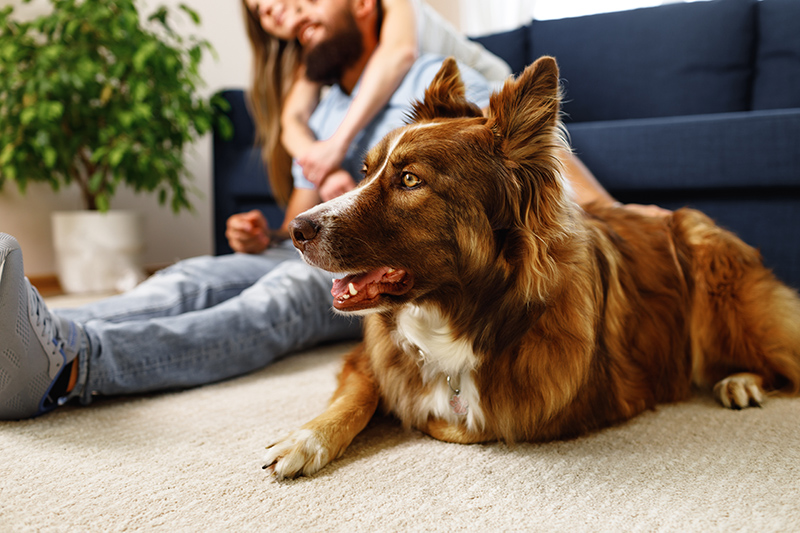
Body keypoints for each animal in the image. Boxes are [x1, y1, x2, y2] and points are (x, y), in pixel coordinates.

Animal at [264, 57, 800, 478]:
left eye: (411, 180)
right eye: (365, 172)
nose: (295, 229)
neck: (458, 319)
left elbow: (451, 423)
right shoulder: (370, 358)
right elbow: (358, 396)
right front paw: (305, 438)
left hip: (714, 281)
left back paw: (740, 381)